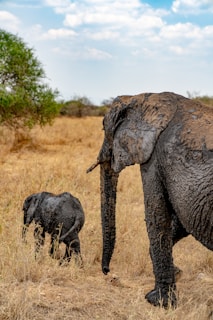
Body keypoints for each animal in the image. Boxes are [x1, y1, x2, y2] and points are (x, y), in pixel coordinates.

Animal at [87, 92, 213, 308]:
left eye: (104, 126)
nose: (107, 272)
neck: (141, 98)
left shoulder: (154, 159)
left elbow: (157, 215)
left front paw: (157, 301)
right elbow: (181, 221)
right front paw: (177, 274)